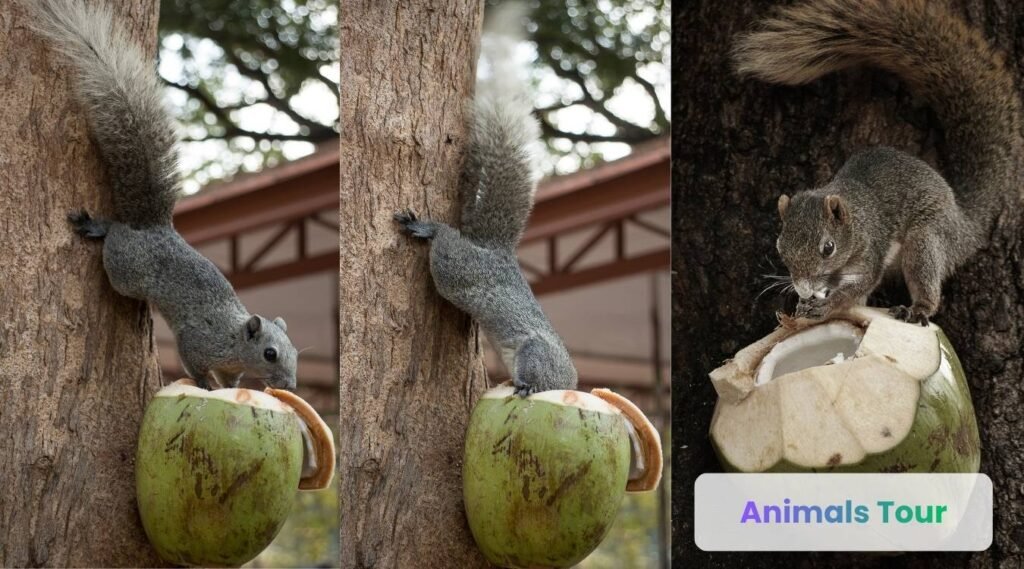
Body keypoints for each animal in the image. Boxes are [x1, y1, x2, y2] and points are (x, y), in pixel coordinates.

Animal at [23, 0, 299, 390]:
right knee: (116, 239)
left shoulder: (231, 366)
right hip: (125, 271)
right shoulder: (198, 341)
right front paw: (205, 386)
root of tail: (151, 227)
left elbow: (231, 380)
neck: (232, 339)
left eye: (295, 352)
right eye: (270, 353)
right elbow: (194, 363)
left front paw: (230, 389)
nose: (290, 386)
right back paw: (100, 227)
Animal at [393, 93, 578, 397]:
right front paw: (526, 386)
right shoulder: (537, 350)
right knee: (447, 241)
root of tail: (497, 252)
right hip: (459, 271)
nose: (531, 385)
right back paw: (429, 228)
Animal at [733, 0, 1023, 325]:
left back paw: (917, 308)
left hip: (927, 239)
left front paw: (827, 305)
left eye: (828, 248)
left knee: (926, 277)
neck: (854, 220)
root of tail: (964, 224)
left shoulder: (871, 249)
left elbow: (860, 284)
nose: (805, 289)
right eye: (780, 246)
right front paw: (805, 303)